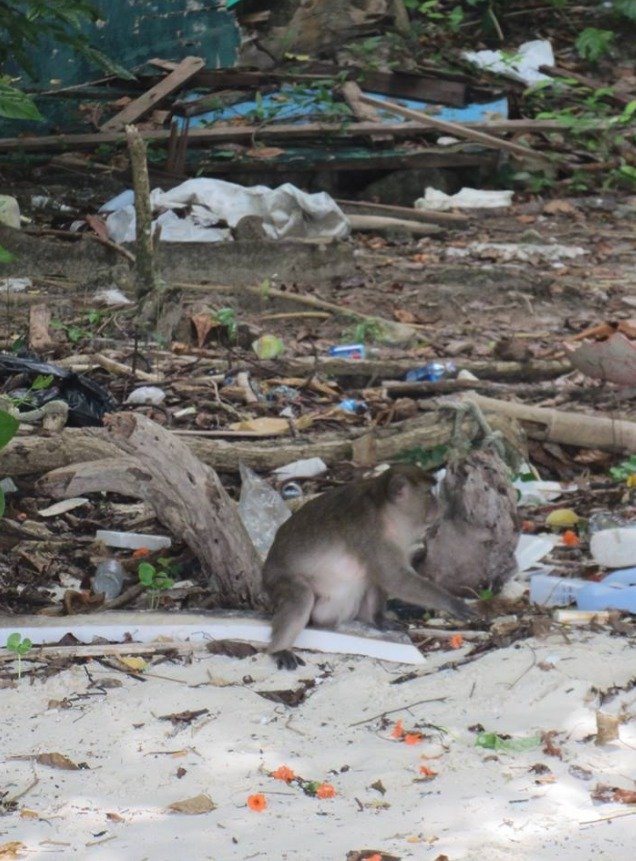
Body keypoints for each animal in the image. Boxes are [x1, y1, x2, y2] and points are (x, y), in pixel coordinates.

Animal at [260, 464, 476, 672]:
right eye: (428, 493)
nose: (439, 504)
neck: (386, 514)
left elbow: (383, 577)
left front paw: (379, 619)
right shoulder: (372, 536)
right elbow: (395, 579)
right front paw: (452, 603)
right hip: (278, 583)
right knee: (301, 597)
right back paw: (279, 649)